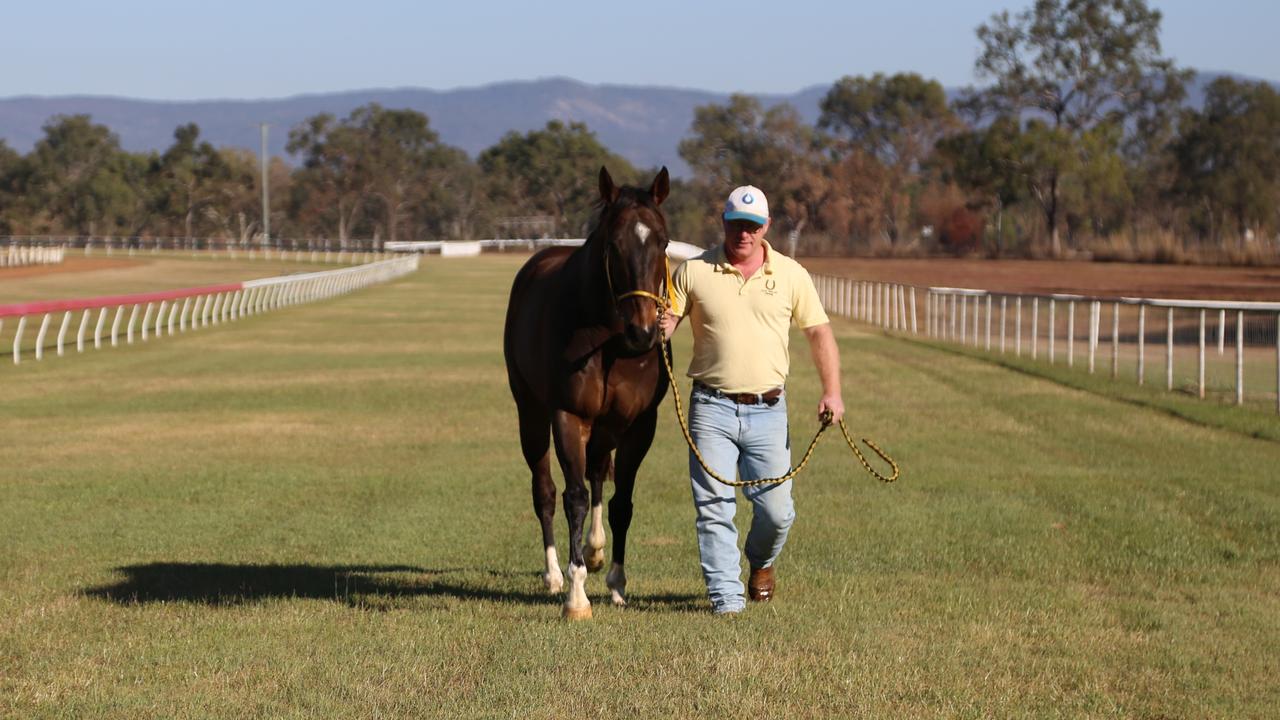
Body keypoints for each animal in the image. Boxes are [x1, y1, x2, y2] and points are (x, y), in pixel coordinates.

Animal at [504, 163, 675, 617]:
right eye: (613, 244)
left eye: (664, 241)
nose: (644, 332)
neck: (609, 342)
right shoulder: (569, 416)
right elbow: (574, 497)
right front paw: (576, 595)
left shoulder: (638, 425)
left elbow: (620, 502)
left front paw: (615, 581)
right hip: (531, 412)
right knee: (545, 492)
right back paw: (554, 576)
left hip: (606, 426)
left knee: (599, 473)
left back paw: (596, 551)